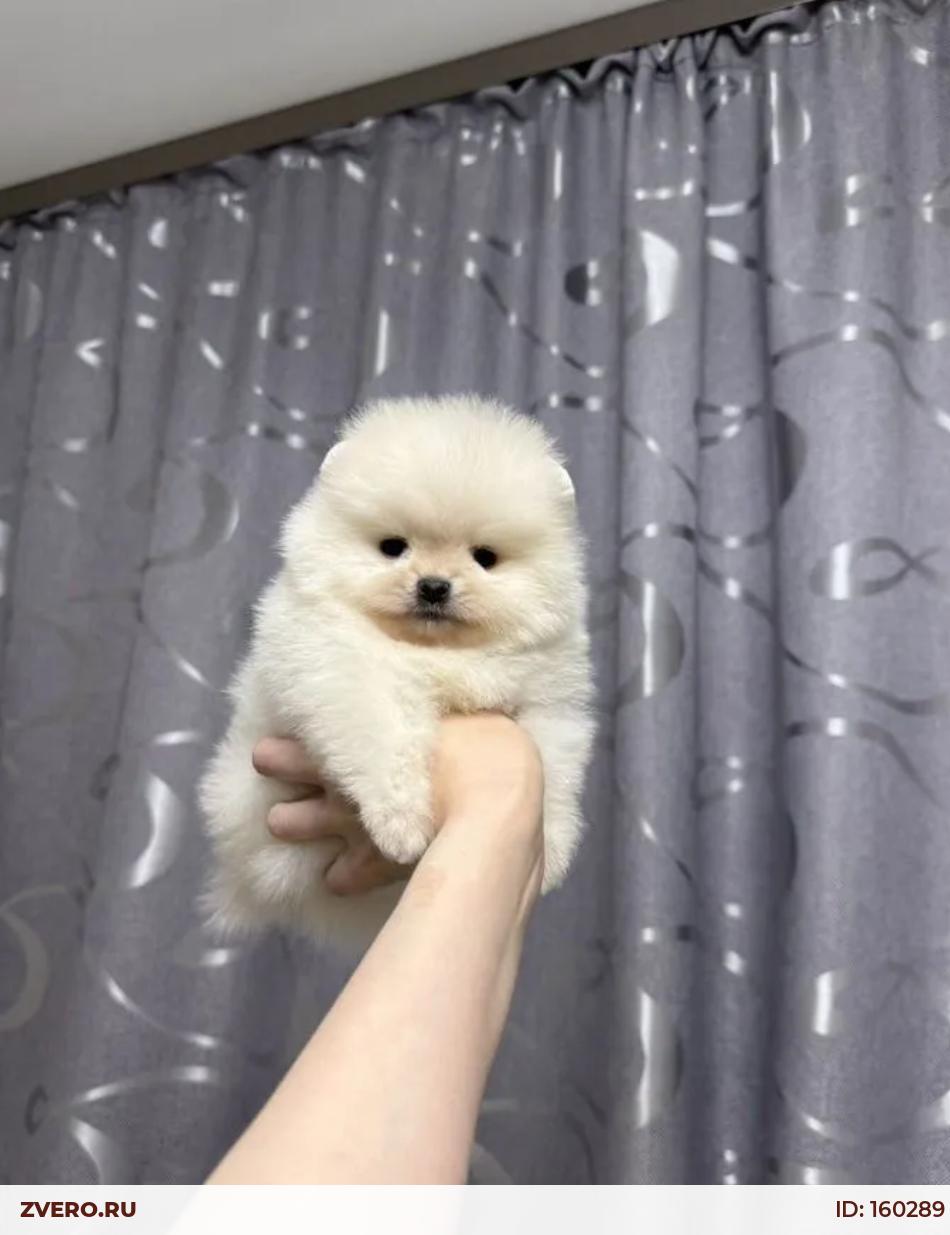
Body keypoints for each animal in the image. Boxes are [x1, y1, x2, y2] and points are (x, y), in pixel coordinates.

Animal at [199, 394, 595, 950]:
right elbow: (384, 743)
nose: (433, 586)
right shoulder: (342, 674)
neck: (435, 655)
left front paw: (552, 848)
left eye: (485, 557)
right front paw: (400, 825)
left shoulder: (551, 701)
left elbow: (553, 771)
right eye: (393, 547)